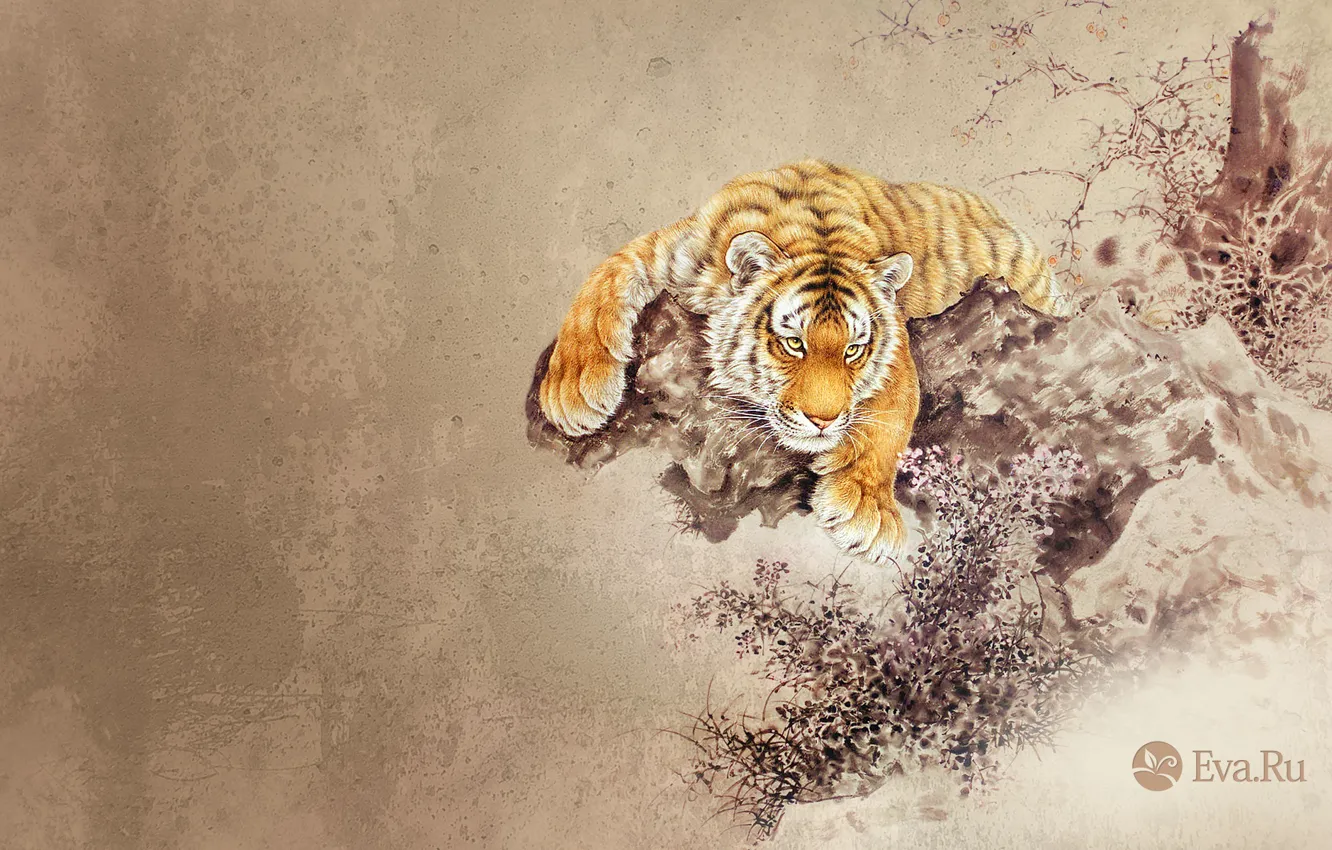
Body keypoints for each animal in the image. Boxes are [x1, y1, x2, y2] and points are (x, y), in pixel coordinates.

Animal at [538, 159, 1069, 564]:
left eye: (854, 350)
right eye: (794, 344)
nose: (823, 420)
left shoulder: (895, 339)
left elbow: (892, 414)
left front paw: (866, 510)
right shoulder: (671, 250)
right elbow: (601, 282)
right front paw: (571, 390)